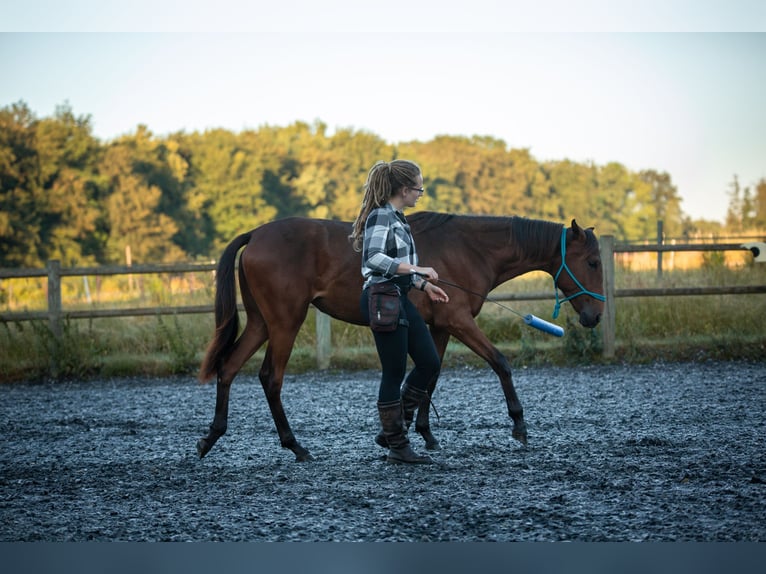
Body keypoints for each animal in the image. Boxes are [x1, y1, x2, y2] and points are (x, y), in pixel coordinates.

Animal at [196, 213, 608, 464]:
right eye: (592, 262)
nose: (595, 316)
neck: (471, 248)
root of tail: (256, 234)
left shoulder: (439, 327)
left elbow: (430, 376)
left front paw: (422, 432)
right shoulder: (459, 321)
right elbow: (500, 363)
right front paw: (519, 425)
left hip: (261, 324)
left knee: (228, 369)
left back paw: (211, 437)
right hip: (284, 323)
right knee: (271, 378)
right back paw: (295, 446)